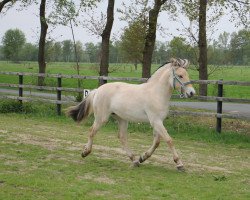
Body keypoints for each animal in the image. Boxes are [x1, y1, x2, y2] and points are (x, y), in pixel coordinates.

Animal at [67, 57, 196, 170]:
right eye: (180, 75)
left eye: (187, 74)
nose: (192, 93)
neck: (156, 93)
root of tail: (98, 90)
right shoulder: (156, 121)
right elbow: (169, 140)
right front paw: (179, 164)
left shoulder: (158, 122)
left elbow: (157, 142)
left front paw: (143, 157)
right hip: (101, 118)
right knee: (92, 131)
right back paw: (85, 152)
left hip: (122, 119)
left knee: (122, 137)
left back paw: (134, 160)